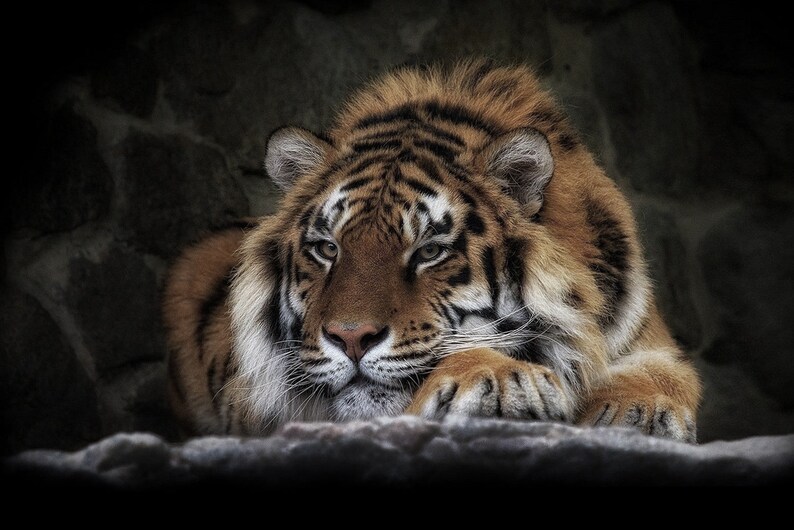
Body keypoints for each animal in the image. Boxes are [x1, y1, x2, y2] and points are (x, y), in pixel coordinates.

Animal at [163, 59, 701, 442]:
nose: (350, 338)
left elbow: (663, 375)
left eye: (428, 252)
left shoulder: (647, 339)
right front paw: (499, 378)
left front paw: (637, 411)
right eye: (327, 249)